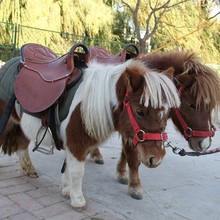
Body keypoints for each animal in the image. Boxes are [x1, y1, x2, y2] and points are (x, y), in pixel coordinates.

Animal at [0, 58, 180, 210]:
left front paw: (66, 190)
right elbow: (77, 171)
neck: (87, 105)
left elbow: (68, 167)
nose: (155, 158)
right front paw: (78, 200)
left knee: (22, 144)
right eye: (140, 111)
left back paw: (28, 169)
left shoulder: (77, 145)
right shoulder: (76, 144)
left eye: (168, 113)